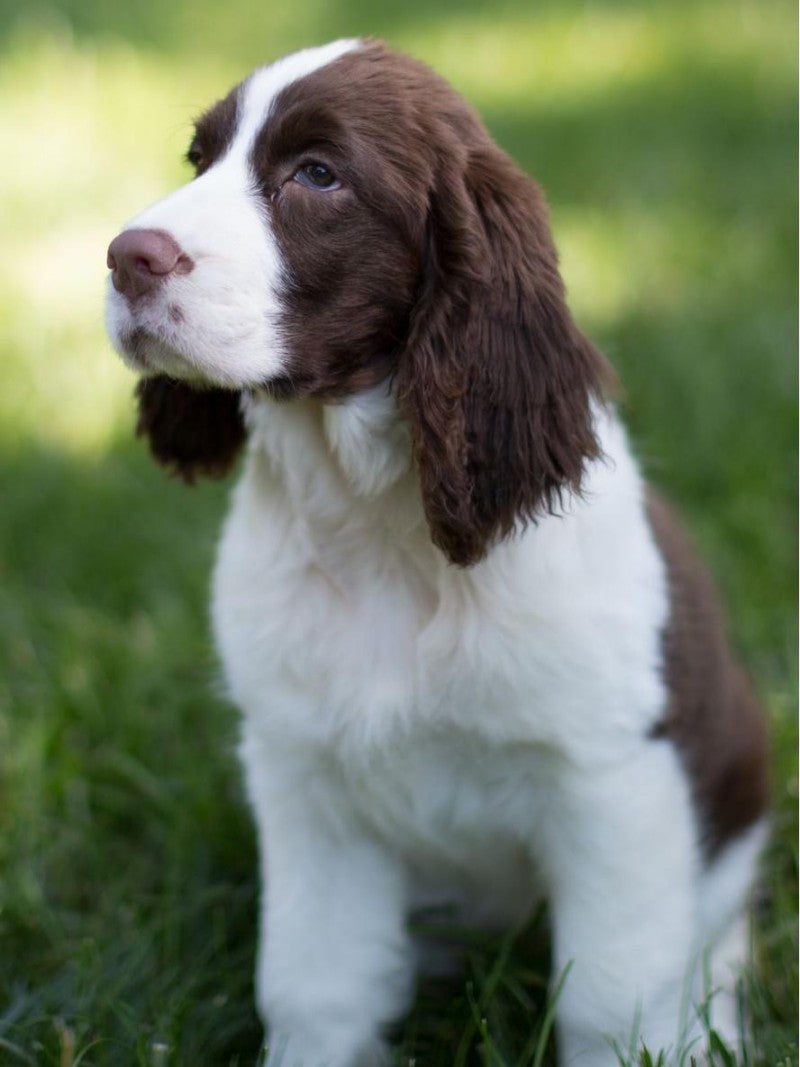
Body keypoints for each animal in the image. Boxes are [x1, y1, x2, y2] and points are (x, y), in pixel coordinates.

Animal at [105, 37, 772, 1062]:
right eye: (198, 159)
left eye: (318, 175)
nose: (125, 258)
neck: (381, 536)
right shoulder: (305, 779)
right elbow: (316, 987)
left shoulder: (616, 782)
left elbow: (612, 1001)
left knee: (719, 931)